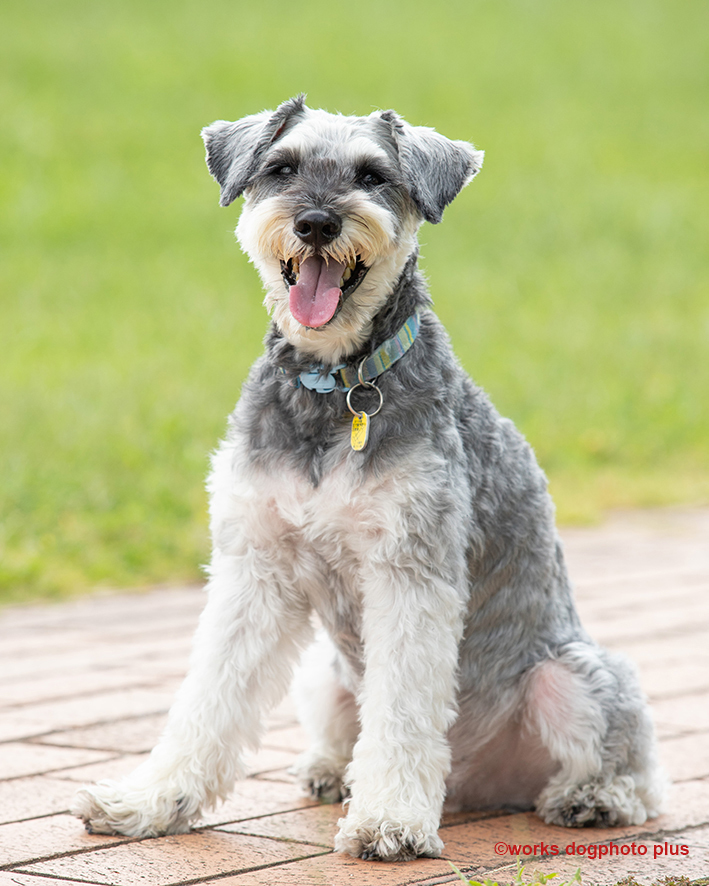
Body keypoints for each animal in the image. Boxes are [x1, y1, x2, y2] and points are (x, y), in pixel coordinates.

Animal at [72, 95, 664, 860]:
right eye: (280, 167)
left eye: (373, 175)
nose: (317, 222)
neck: (335, 383)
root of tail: (477, 786)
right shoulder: (255, 568)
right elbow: (209, 696)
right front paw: (149, 802)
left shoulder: (409, 571)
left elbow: (403, 710)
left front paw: (388, 823)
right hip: (325, 678)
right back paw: (331, 772)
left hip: (571, 676)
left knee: (631, 768)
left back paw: (592, 797)